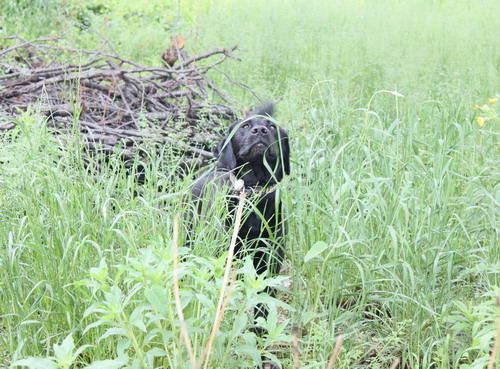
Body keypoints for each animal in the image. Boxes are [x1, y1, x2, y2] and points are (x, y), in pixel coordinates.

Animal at [192, 102, 292, 326]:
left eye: (272, 127)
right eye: (245, 126)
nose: (260, 131)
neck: (253, 191)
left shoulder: (268, 261)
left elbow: (263, 303)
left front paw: (260, 332)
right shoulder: (221, 259)